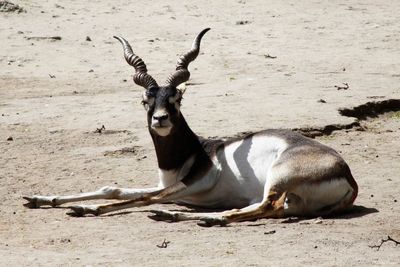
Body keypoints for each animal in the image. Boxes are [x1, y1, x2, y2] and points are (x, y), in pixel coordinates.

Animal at [23, 28, 358, 227]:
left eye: (176, 98)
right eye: (146, 99)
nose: (160, 119)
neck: (193, 153)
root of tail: (347, 175)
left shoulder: (192, 183)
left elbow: (143, 197)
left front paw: (87, 209)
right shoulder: (168, 183)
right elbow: (114, 189)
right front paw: (42, 198)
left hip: (278, 178)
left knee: (269, 206)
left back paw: (203, 218)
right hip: (292, 200)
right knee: (271, 209)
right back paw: (178, 215)